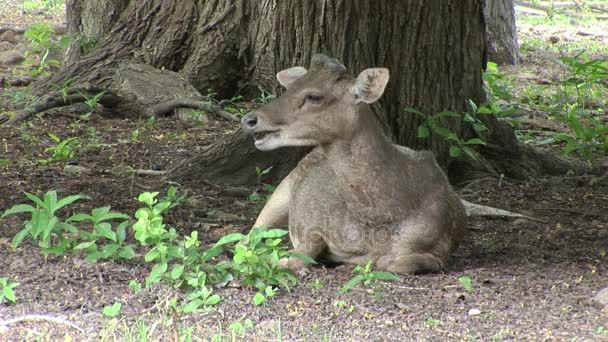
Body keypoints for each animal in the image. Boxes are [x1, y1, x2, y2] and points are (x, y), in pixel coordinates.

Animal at [241, 53, 466, 274]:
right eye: (292, 87)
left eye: (314, 96)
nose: (249, 119)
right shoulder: (316, 224)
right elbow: (299, 256)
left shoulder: (440, 250)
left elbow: (400, 262)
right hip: (281, 192)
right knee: (248, 237)